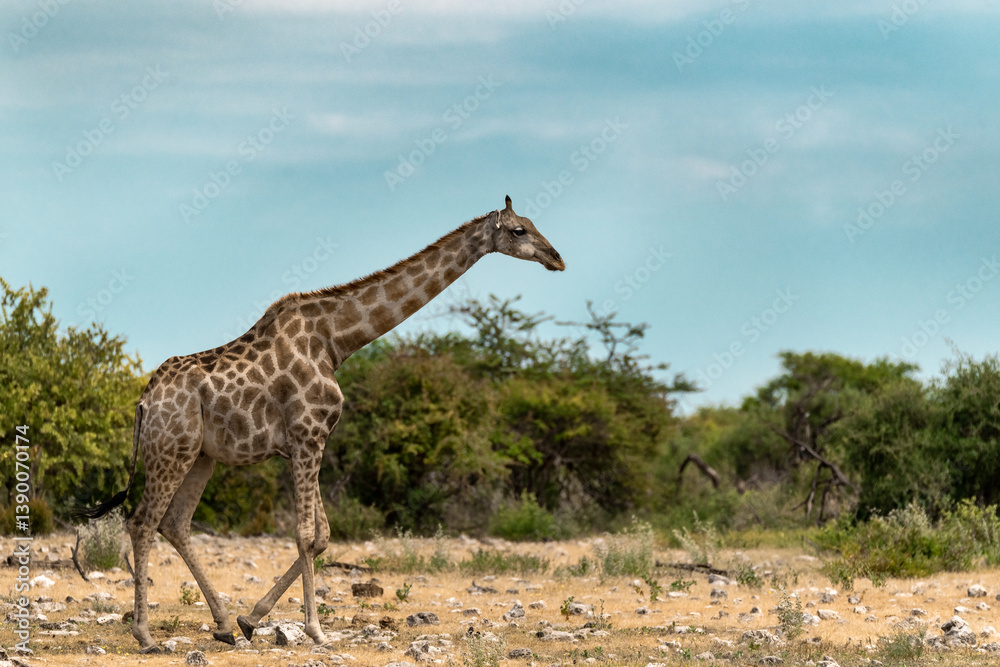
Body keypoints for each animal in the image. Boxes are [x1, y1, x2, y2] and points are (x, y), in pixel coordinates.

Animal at [78, 195, 564, 652]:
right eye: (519, 230)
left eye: (533, 224)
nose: (557, 258)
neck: (337, 341)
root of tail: (144, 401)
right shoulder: (307, 436)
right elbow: (305, 534)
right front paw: (314, 630)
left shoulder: (310, 441)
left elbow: (323, 537)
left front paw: (251, 619)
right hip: (171, 449)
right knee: (142, 523)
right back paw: (145, 634)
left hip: (200, 455)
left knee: (175, 524)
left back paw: (222, 625)